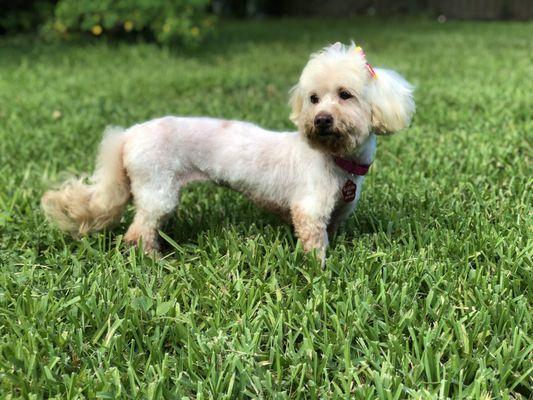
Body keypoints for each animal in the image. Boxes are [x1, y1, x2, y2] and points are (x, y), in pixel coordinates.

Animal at [42, 42, 416, 262]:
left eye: (345, 95)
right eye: (313, 99)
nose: (320, 120)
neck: (335, 158)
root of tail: (129, 135)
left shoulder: (337, 211)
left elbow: (332, 232)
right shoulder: (309, 211)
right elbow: (314, 245)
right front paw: (318, 272)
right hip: (158, 189)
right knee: (138, 232)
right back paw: (153, 259)